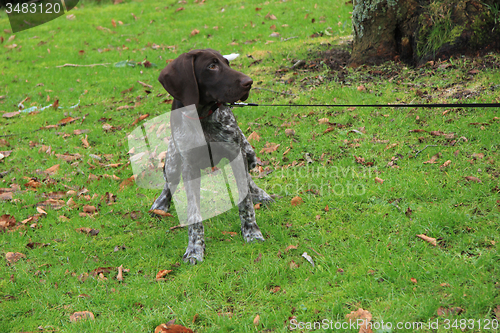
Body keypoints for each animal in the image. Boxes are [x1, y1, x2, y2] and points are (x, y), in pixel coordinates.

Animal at [150, 48, 272, 264]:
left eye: (226, 63)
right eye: (212, 66)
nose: (249, 82)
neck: (202, 116)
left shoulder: (236, 154)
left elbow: (246, 203)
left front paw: (252, 233)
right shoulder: (189, 168)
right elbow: (193, 214)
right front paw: (195, 249)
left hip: (248, 152)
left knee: (249, 177)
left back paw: (259, 193)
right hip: (172, 162)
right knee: (169, 182)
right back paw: (161, 203)